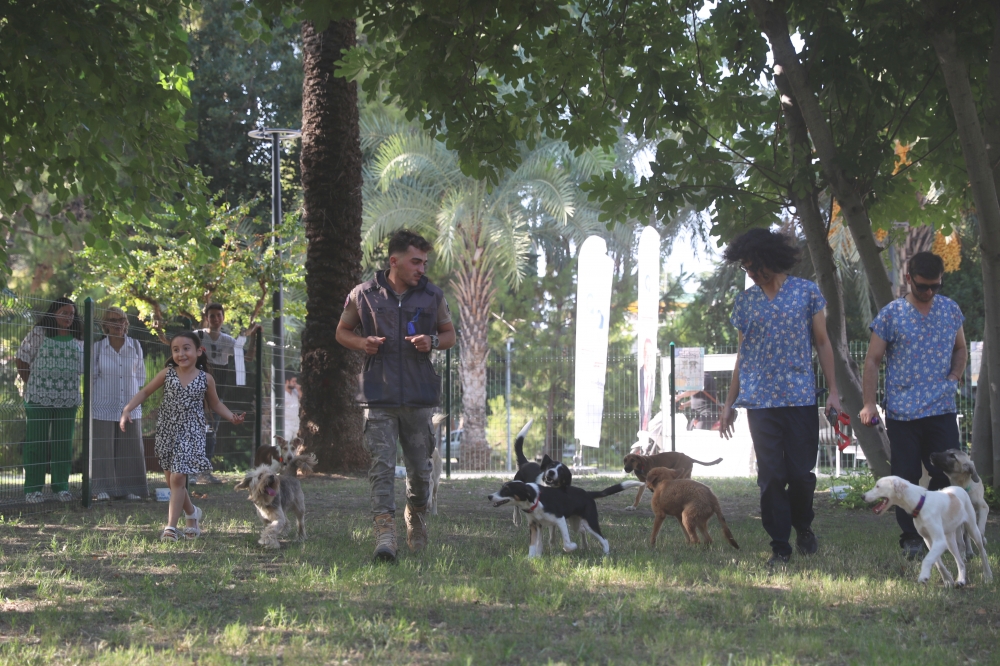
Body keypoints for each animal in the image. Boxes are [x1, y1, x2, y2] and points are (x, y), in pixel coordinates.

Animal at [490, 478, 640, 556]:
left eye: (506, 490)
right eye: (501, 488)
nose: (489, 496)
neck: (536, 499)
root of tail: (588, 493)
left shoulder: (559, 520)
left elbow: (567, 543)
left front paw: (572, 547)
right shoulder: (534, 525)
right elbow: (533, 544)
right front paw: (531, 559)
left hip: (590, 522)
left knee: (604, 539)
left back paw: (605, 553)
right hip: (575, 522)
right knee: (582, 531)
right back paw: (585, 546)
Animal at [860, 472, 992, 588]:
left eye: (878, 486)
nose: (862, 496)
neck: (921, 503)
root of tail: (958, 488)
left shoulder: (939, 541)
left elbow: (927, 559)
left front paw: (923, 576)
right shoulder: (928, 540)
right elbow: (937, 562)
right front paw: (947, 580)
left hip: (972, 529)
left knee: (983, 552)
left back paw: (987, 576)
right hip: (950, 540)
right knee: (960, 561)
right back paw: (960, 580)